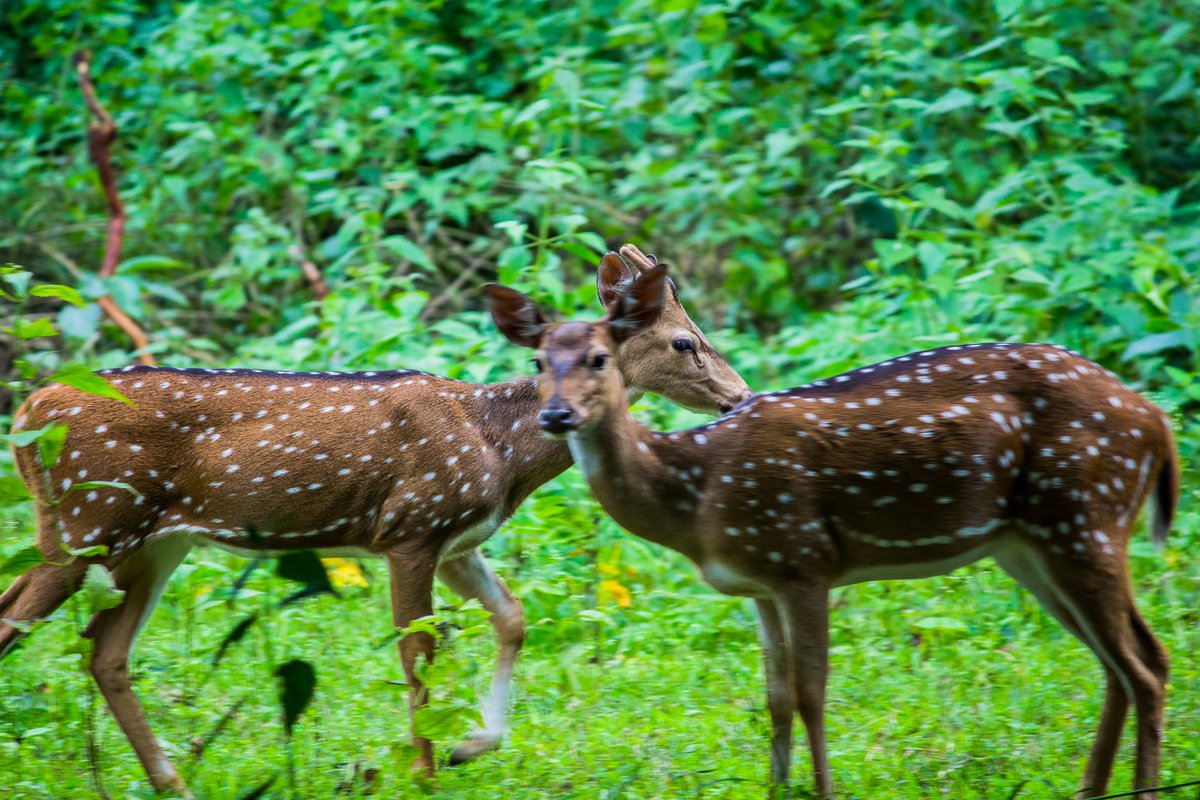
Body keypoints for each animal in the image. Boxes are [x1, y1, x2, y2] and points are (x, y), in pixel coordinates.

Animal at [0, 246, 752, 796]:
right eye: (685, 342)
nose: (738, 398)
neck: (497, 446)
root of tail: (29, 411)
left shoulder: (458, 540)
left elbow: (511, 619)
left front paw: (470, 745)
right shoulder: (411, 527)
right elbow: (417, 651)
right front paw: (425, 770)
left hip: (152, 541)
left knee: (104, 650)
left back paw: (173, 782)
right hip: (87, 519)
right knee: (20, 621)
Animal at [487, 263, 1180, 800]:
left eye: (599, 358)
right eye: (539, 360)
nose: (556, 414)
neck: (694, 491)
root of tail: (1157, 422)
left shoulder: (803, 559)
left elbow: (812, 694)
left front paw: (818, 789)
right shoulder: (760, 582)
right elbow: (775, 697)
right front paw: (776, 787)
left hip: (1085, 517)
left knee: (1143, 667)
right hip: (1035, 545)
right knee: (1126, 662)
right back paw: (1093, 789)